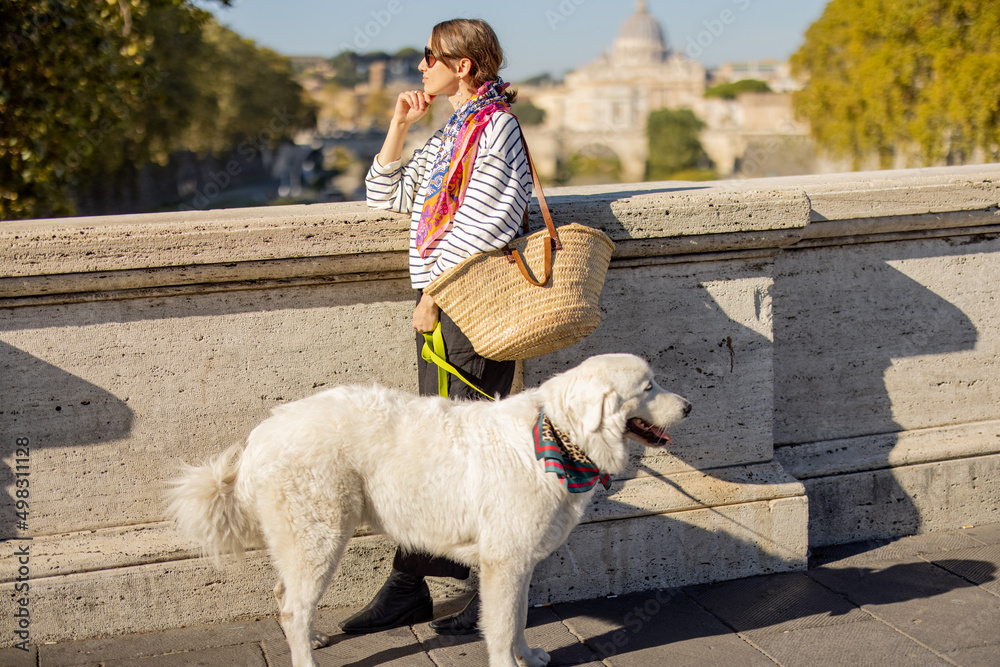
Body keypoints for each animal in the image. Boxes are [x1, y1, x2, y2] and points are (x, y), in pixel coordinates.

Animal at [168, 352, 692, 664]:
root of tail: (261, 434)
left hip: (300, 540)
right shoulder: (504, 562)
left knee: (284, 598)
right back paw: (306, 657)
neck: (557, 437)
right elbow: (501, 626)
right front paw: (510, 663)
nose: (688, 407)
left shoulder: (518, 561)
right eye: (648, 387)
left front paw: (528, 655)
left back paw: (310, 639)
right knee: (294, 607)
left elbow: (520, 618)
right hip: (320, 536)